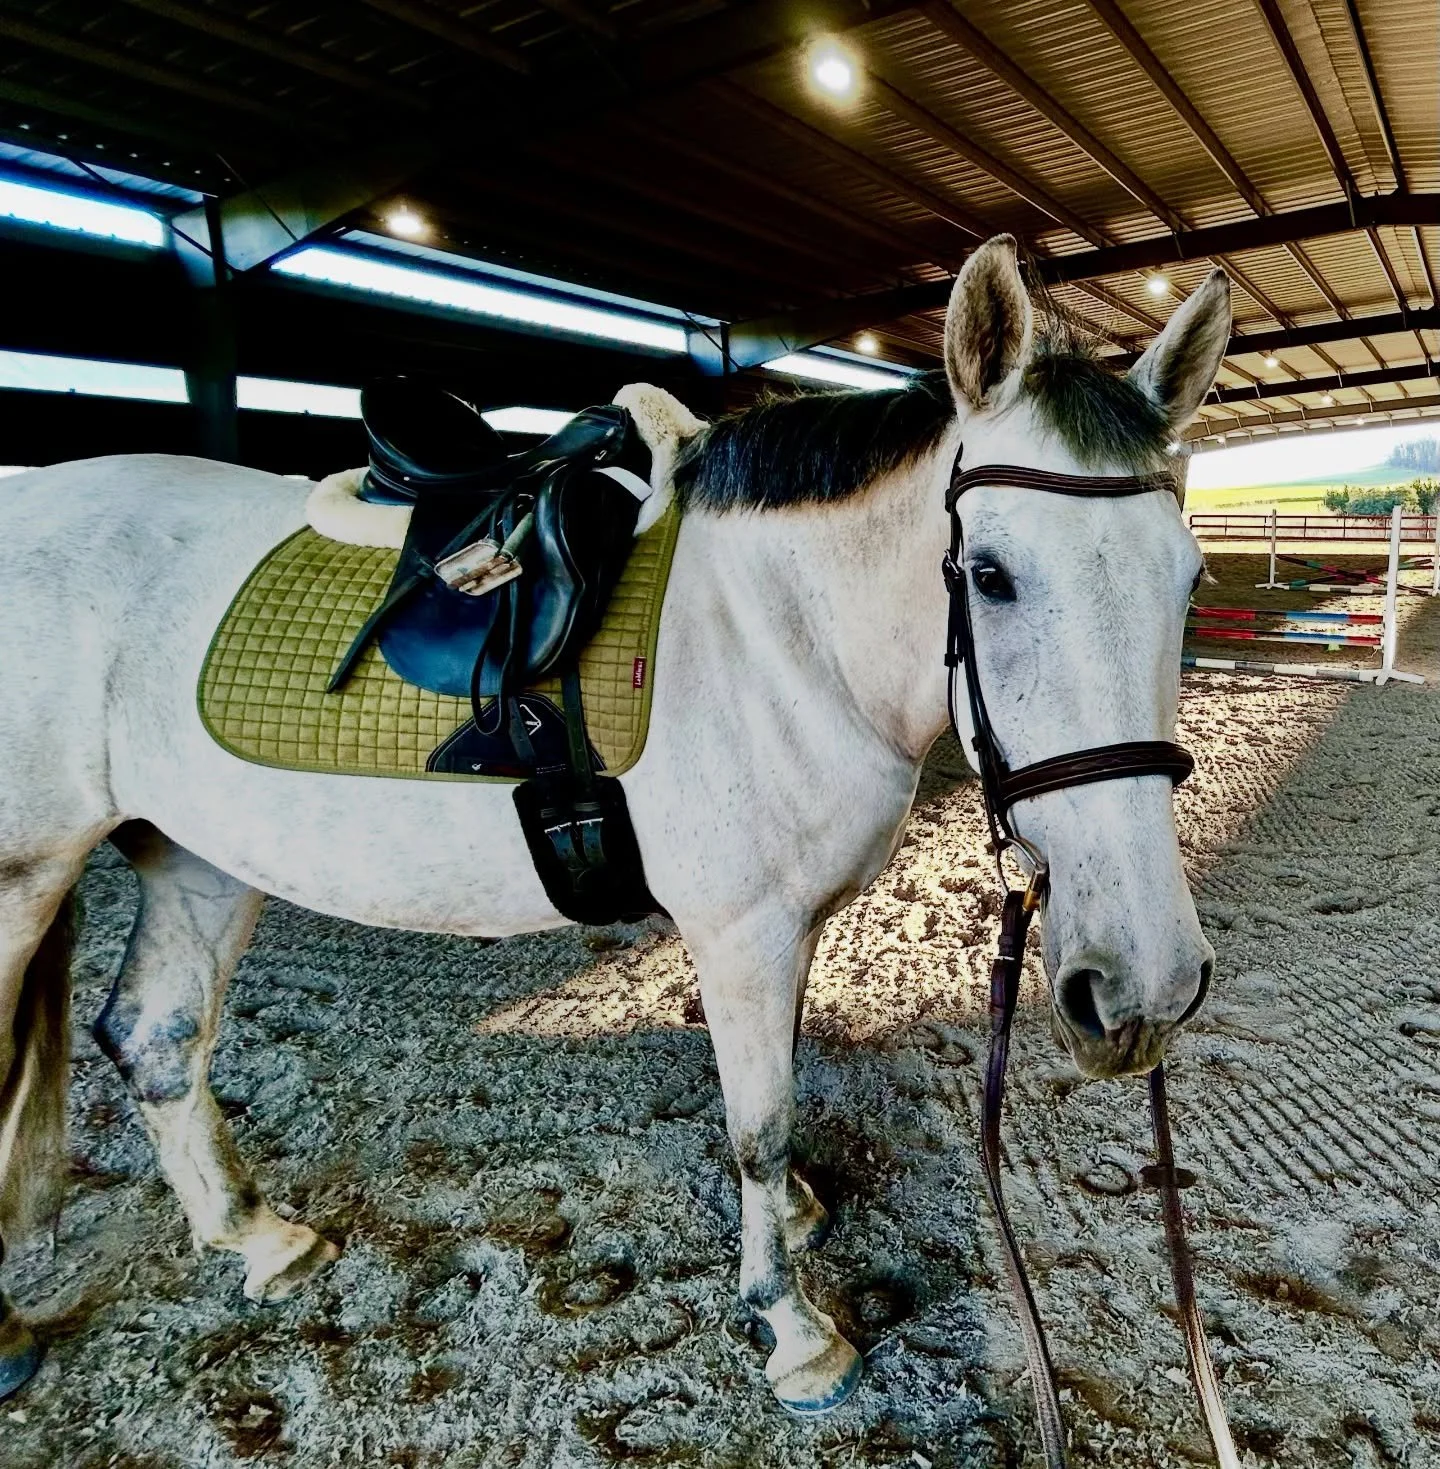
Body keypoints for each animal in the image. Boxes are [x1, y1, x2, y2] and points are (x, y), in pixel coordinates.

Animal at [0, 237, 1231, 1416]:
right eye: (989, 572)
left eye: (1187, 579)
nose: (1148, 989)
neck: (772, 638)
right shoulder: (739, 931)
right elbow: (758, 1120)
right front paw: (793, 1332)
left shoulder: (790, 927)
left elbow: (778, 1086)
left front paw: (792, 1219)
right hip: (29, 875)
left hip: (197, 857)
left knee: (157, 1038)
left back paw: (260, 1241)